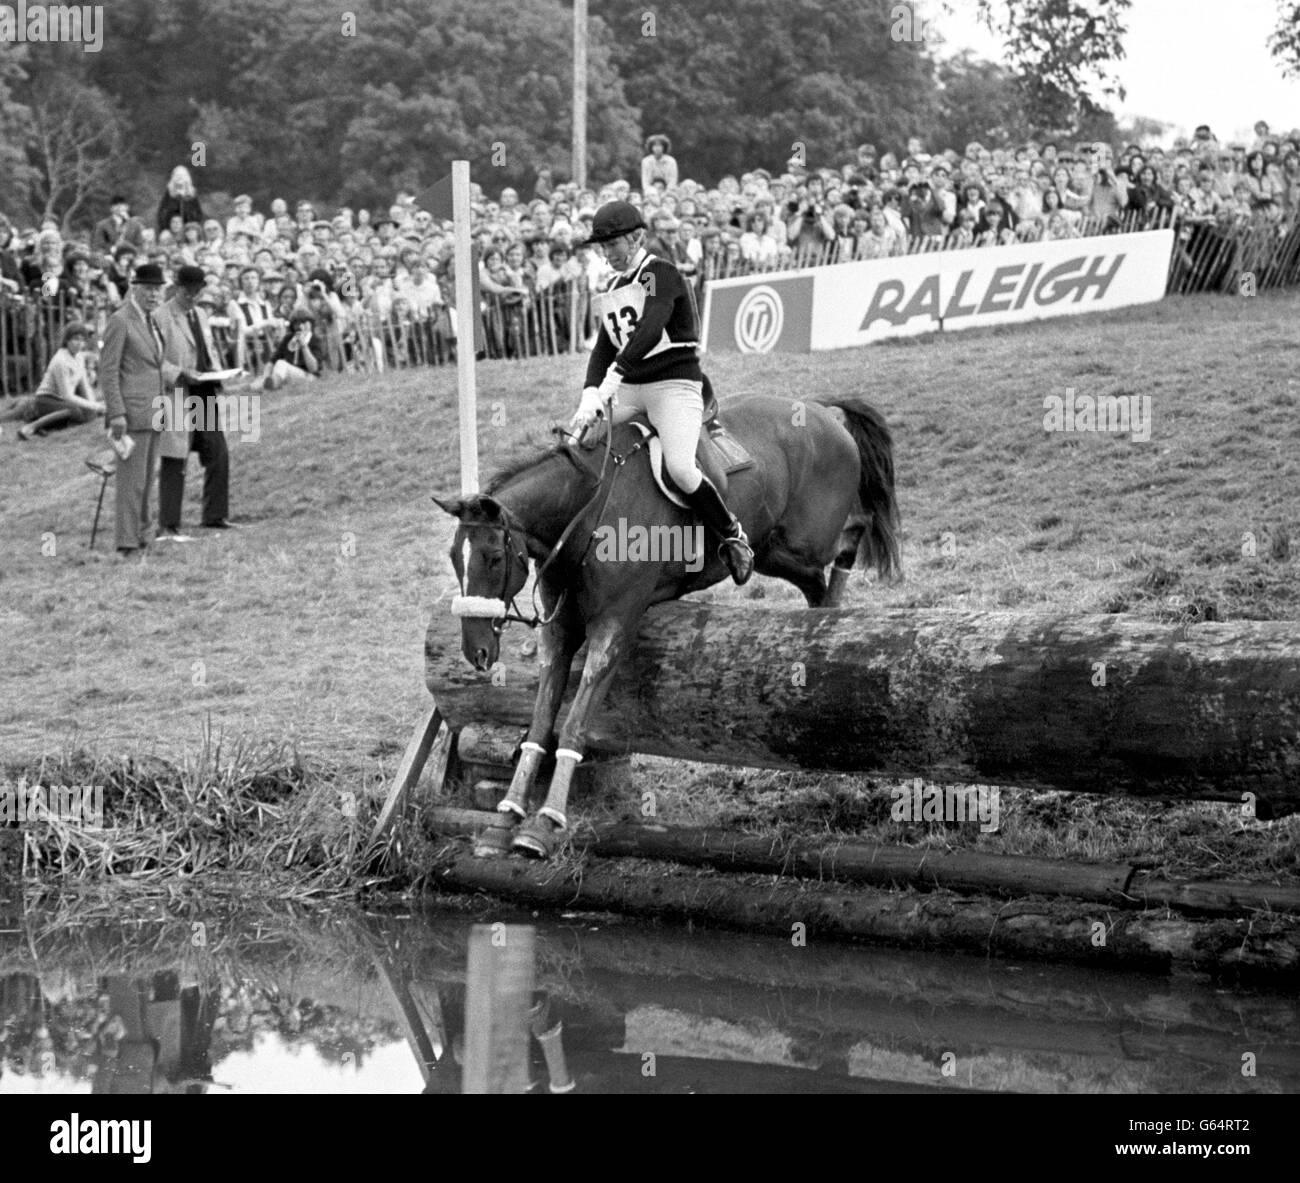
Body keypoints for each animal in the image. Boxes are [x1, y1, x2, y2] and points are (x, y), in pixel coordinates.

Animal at [431, 392, 899, 857]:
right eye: (455, 557)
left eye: (494, 557)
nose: (476, 652)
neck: (585, 514)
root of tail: (820, 410)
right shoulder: (559, 631)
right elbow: (542, 721)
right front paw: (505, 818)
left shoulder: (614, 626)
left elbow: (574, 724)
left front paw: (544, 824)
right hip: (774, 549)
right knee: (816, 582)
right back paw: (822, 623)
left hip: (807, 538)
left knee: (856, 529)